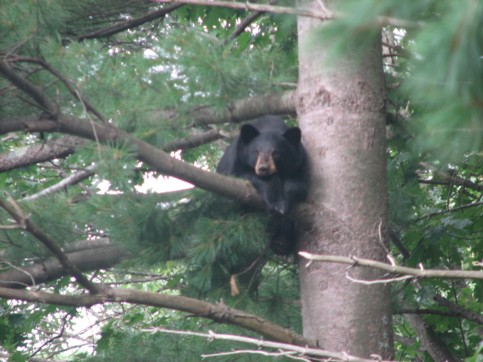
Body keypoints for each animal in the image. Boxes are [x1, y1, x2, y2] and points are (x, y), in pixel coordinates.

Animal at [216, 116, 308, 255]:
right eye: (256, 151)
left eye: (275, 153)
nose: (263, 168)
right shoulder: (238, 158)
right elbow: (240, 175)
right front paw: (275, 203)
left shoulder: (300, 163)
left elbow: (298, 185)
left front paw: (283, 204)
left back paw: (281, 242)